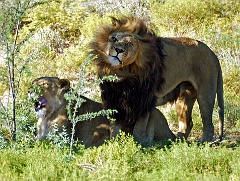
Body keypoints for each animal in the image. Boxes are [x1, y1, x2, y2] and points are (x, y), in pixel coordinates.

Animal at [90, 16, 223, 142]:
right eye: (114, 39)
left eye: (129, 44)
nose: (118, 50)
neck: (121, 72)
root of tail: (213, 53)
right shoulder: (113, 98)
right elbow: (114, 127)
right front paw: (114, 143)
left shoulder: (144, 100)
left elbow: (139, 129)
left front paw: (140, 145)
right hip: (185, 96)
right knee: (187, 122)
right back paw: (178, 142)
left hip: (205, 92)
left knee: (208, 123)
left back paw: (203, 143)